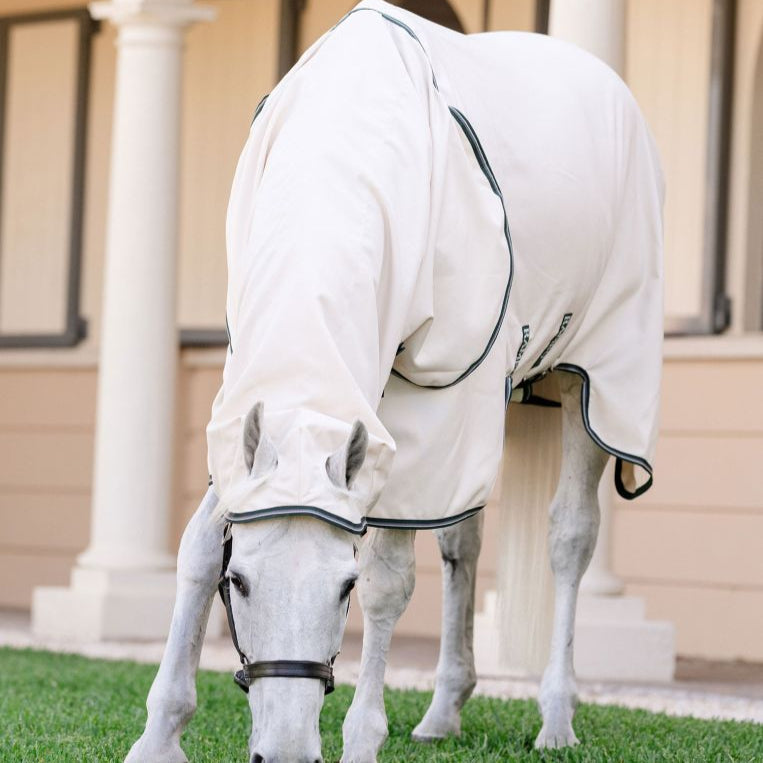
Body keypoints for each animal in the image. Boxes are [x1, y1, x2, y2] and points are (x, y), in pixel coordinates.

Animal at [126, 2, 663, 761]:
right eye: (241, 580)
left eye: (342, 586)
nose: (285, 752)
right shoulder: (252, 403)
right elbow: (197, 545)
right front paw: (158, 734)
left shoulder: (437, 403)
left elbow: (391, 581)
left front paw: (360, 736)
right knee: (461, 542)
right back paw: (443, 710)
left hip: (590, 381)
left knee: (569, 536)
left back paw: (556, 718)